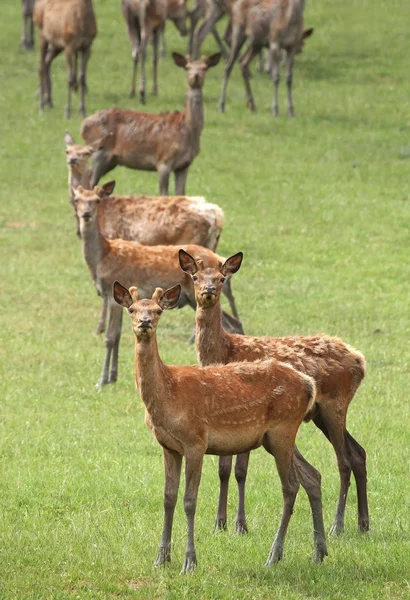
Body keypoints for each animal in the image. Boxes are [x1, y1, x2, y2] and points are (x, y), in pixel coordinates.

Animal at [73, 183, 242, 390]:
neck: (101, 259)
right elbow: (119, 335)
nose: (86, 214)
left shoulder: (112, 295)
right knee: (234, 323)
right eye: (77, 200)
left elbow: (110, 337)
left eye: (97, 200)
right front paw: (113, 376)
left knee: (232, 323)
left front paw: (101, 381)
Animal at [79, 52, 221, 195]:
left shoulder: (184, 165)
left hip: (112, 160)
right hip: (99, 152)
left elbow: (180, 194)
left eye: (205, 67)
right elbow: (164, 194)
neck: (187, 130)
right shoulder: (163, 161)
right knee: (88, 181)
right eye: (187, 67)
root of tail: (83, 125)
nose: (195, 76)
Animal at [111, 282, 326, 572]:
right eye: (132, 309)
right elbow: (168, 498)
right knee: (312, 476)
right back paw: (319, 552)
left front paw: (189, 562)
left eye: (158, 310)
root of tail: (308, 384)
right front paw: (161, 558)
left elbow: (189, 501)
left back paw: (274, 555)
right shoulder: (168, 446)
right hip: (276, 437)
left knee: (290, 486)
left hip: (283, 428)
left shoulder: (195, 441)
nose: (145, 323)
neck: (168, 395)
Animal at [179, 248, 368, 536]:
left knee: (344, 461)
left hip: (335, 404)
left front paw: (240, 525)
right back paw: (363, 524)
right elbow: (223, 469)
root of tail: (360, 361)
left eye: (222, 278)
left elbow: (240, 470)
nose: (208, 290)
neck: (224, 352)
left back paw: (337, 526)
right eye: (196, 277)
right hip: (322, 414)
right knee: (358, 452)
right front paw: (219, 523)